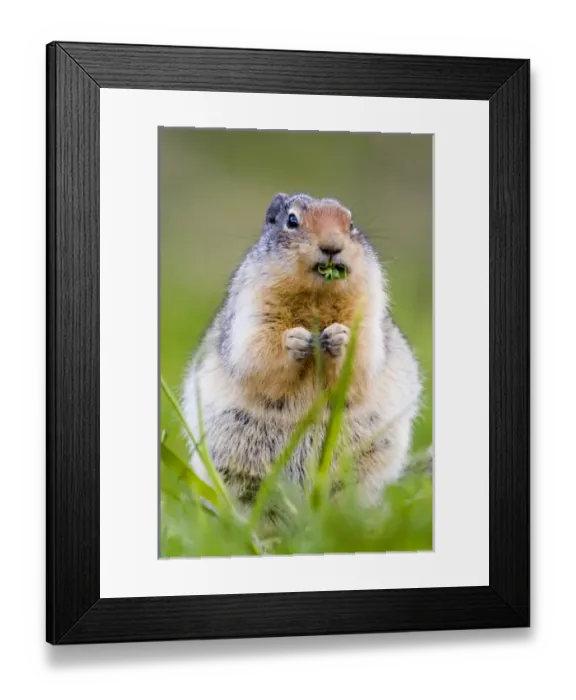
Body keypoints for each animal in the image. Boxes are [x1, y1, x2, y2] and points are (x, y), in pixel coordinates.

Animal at [182, 193, 423, 507]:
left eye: (351, 224)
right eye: (292, 220)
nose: (332, 246)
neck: (317, 298)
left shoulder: (369, 310)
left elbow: (364, 355)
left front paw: (340, 337)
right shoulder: (252, 307)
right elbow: (255, 348)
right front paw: (294, 340)